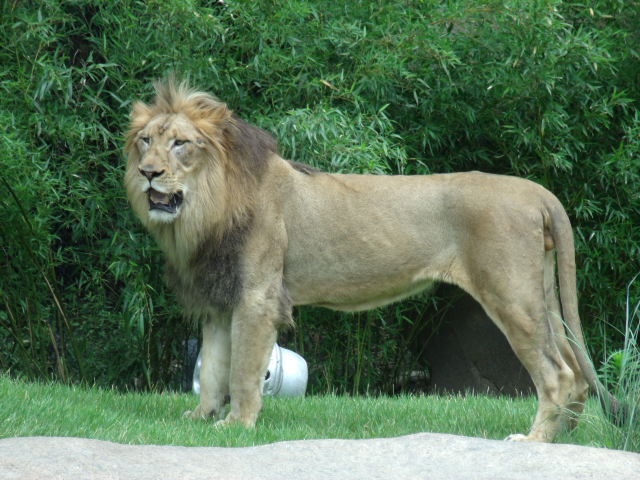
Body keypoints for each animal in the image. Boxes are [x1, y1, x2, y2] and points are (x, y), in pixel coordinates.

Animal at [125, 78, 620, 443]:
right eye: (145, 141)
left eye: (181, 144)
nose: (148, 173)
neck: (204, 208)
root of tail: (538, 192)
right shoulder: (218, 301)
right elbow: (212, 368)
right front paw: (200, 419)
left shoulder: (257, 299)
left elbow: (244, 370)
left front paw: (237, 426)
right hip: (541, 295)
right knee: (575, 369)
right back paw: (565, 437)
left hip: (511, 295)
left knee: (557, 372)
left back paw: (535, 441)